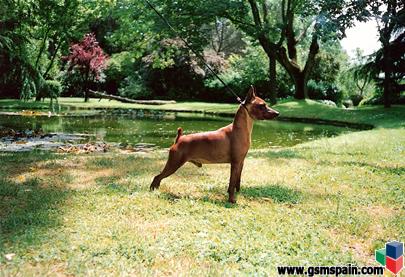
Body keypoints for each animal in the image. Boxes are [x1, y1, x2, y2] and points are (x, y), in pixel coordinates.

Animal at [148, 86, 278, 203]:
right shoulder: (235, 163)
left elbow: (237, 182)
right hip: (174, 164)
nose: (277, 113)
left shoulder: (241, 162)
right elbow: (232, 183)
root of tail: (179, 138)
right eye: (262, 105)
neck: (240, 129)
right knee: (157, 177)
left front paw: (238, 194)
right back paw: (153, 192)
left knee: (158, 178)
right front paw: (231, 200)